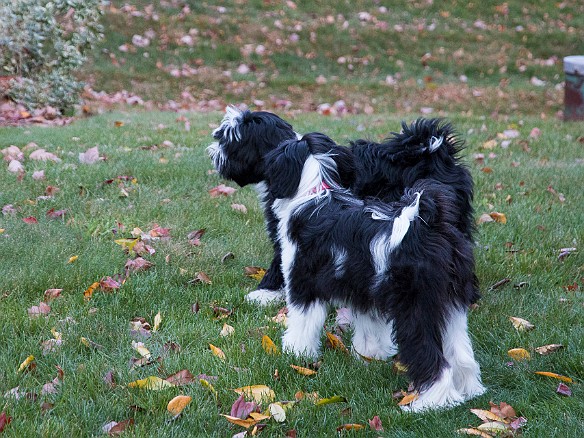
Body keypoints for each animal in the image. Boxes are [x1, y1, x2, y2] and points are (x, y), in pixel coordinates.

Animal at [264, 133, 484, 410]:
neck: (317, 192)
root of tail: (427, 225)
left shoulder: (303, 283)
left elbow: (302, 322)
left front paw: (295, 352)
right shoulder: (363, 290)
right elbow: (370, 325)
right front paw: (371, 354)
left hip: (415, 308)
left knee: (433, 359)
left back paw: (432, 402)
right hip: (452, 302)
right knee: (461, 352)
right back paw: (470, 390)